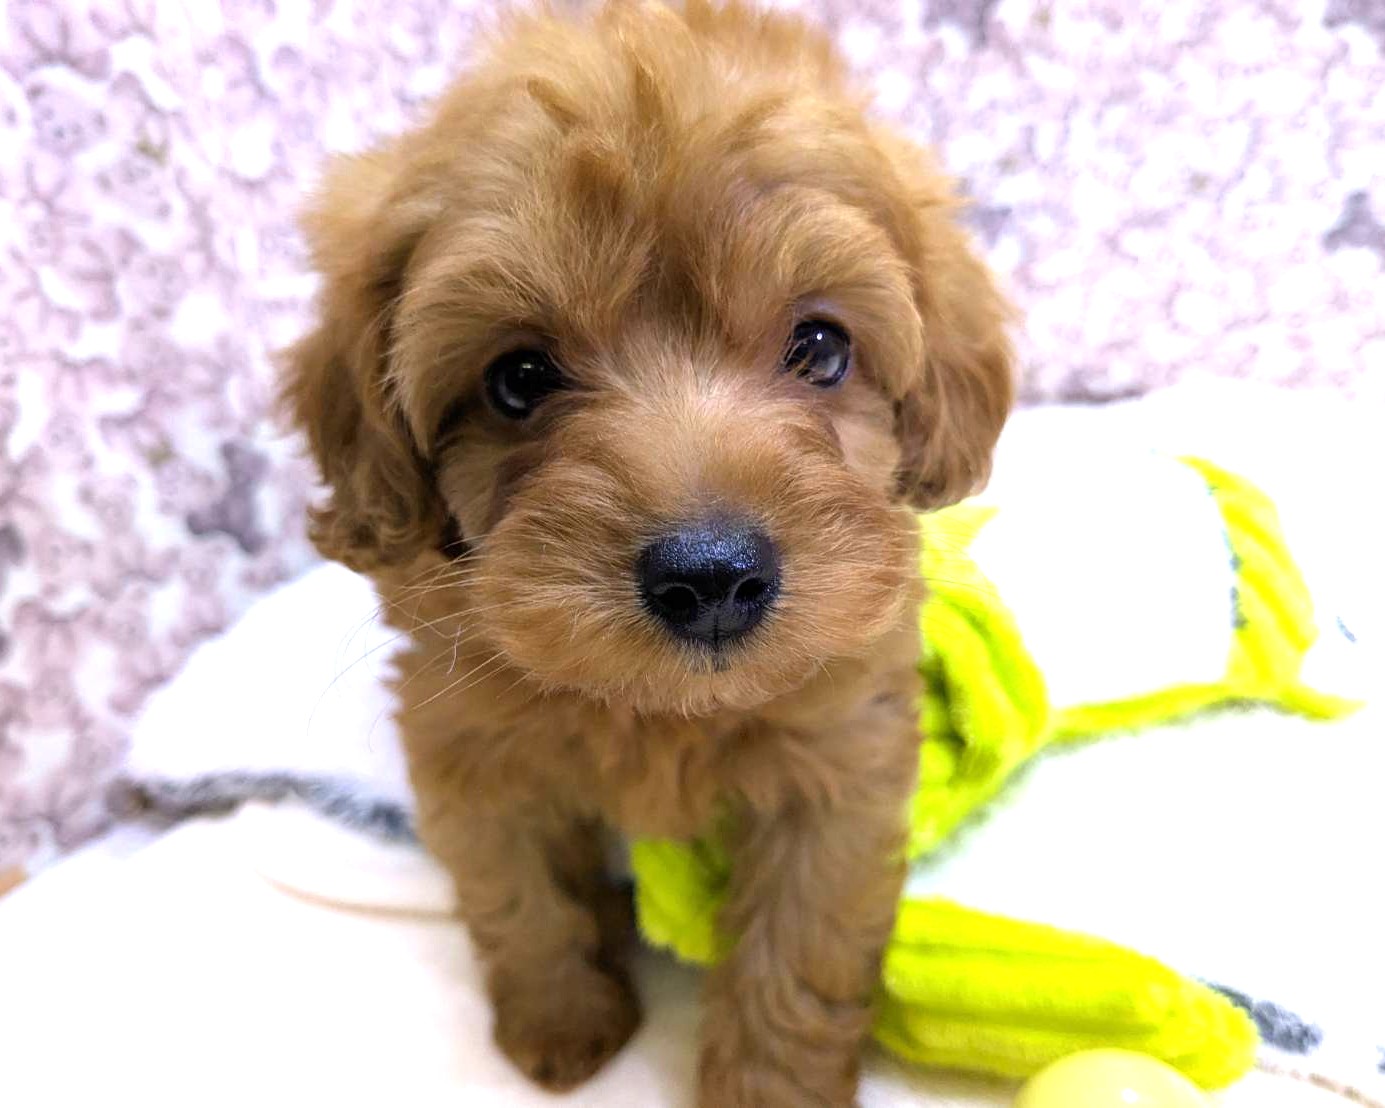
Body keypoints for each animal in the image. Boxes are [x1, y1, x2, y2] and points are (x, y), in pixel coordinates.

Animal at [283, 1, 1013, 1103]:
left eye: (820, 347)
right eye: (517, 379)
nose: (710, 576)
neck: (659, 712)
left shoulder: (841, 757)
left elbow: (799, 943)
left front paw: (769, 1086)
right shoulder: (466, 746)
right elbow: (518, 893)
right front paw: (561, 1024)